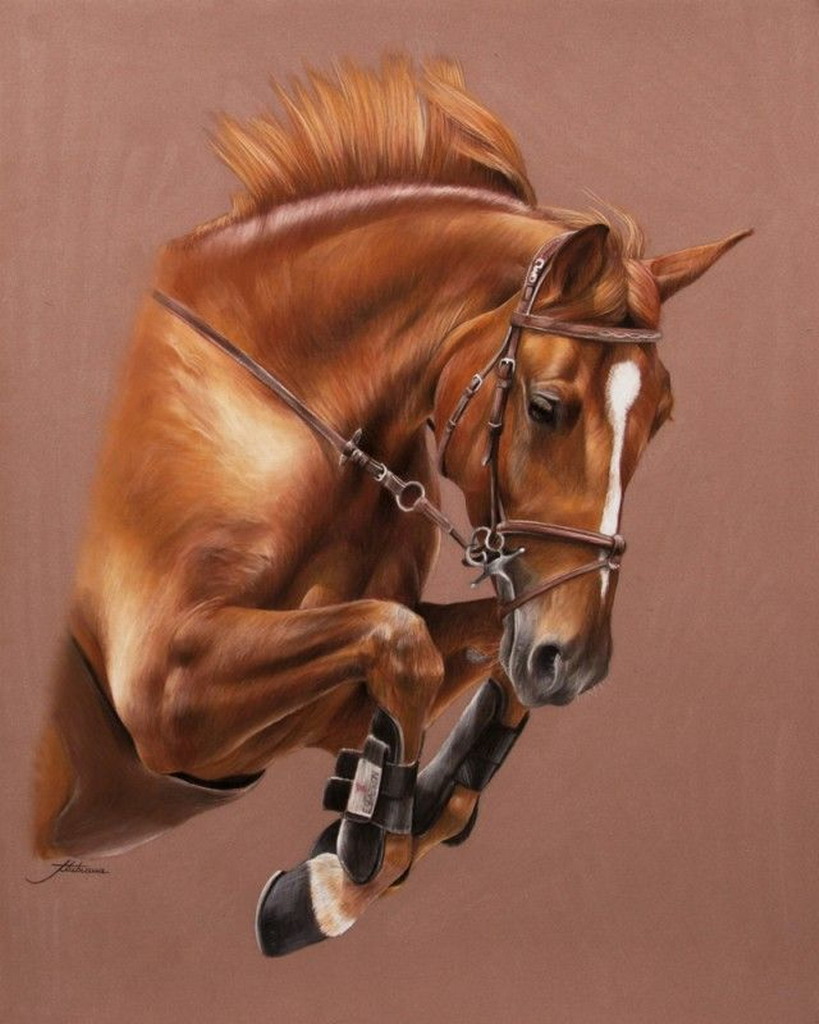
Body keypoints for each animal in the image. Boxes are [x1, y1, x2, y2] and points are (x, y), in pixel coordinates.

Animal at [33, 55, 749, 956]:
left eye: (661, 419)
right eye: (545, 406)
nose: (576, 663)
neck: (289, 407)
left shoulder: (307, 712)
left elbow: (461, 655)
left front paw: (365, 829)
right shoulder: (169, 699)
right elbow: (402, 642)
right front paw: (336, 881)